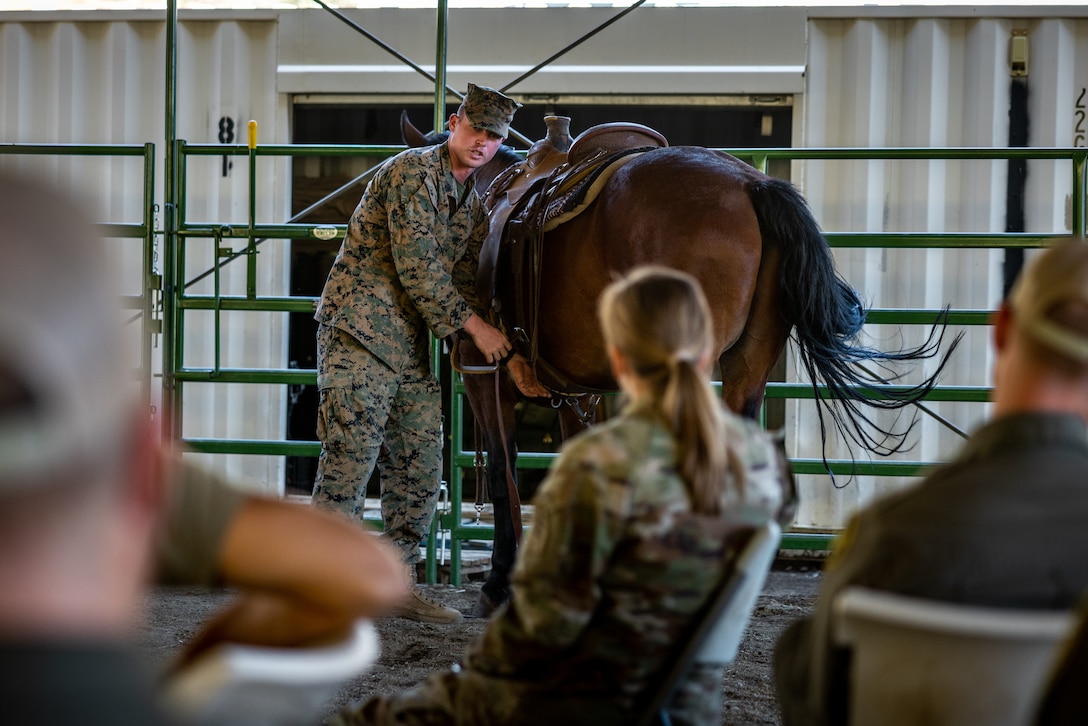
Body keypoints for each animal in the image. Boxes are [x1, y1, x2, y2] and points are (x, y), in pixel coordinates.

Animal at [404, 113, 957, 613]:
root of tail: (752, 185)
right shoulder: (581, 390)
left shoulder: (485, 373)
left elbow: (503, 471)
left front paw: (500, 584)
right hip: (747, 368)